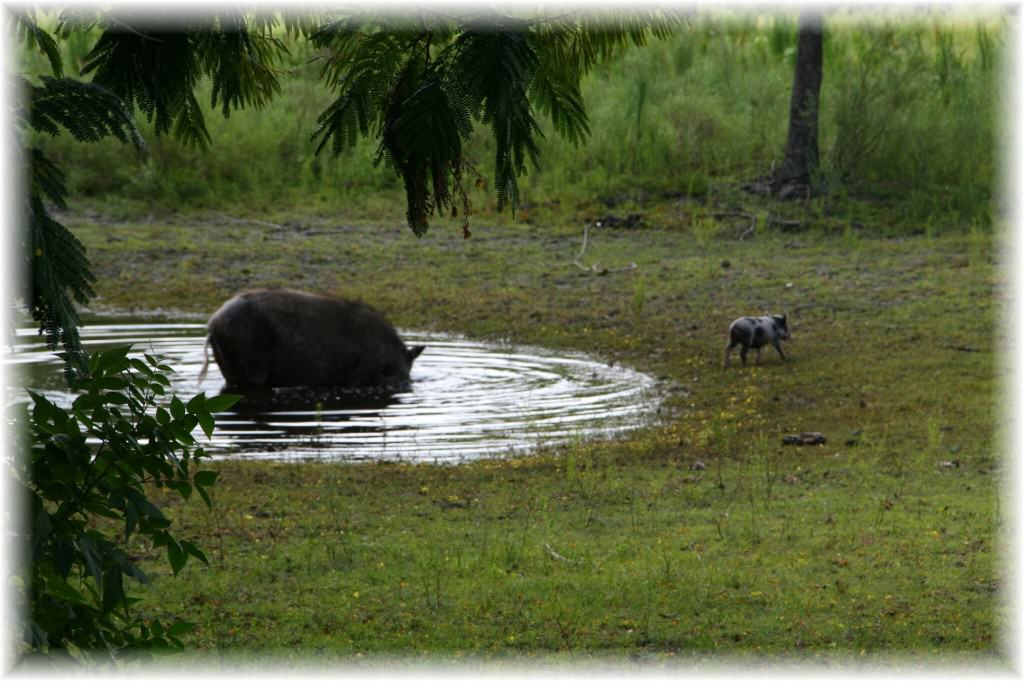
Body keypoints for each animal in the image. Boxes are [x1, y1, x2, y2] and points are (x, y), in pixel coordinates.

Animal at [201, 288, 425, 387]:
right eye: (390, 373)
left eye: (409, 371)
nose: (405, 383)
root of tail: (213, 325)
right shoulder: (357, 374)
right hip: (251, 368)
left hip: (229, 368)